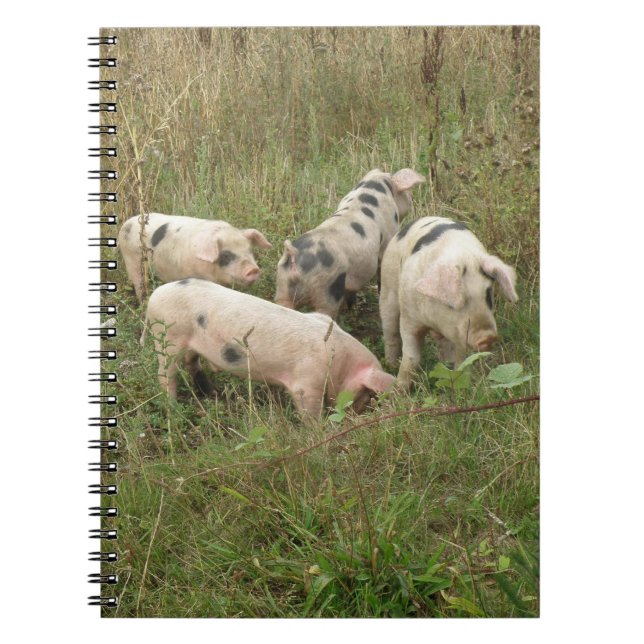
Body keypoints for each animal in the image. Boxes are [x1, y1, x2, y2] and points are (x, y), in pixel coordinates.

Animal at [118, 213, 272, 302]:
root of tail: (127, 222)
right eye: (226, 255)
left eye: (249, 250)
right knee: (138, 284)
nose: (253, 270)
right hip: (131, 260)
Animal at [141, 278, 395, 420]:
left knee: (192, 362)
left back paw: (212, 393)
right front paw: (318, 430)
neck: (340, 362)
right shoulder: (306, 384)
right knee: (166, 374)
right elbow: (309, 412)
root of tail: (154, 295)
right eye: (366, 393)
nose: (356, 415)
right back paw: (174, 408)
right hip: (168, 338)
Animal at [275, 168, 425, 319]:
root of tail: (294, 255)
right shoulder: (388, 235)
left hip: (282, 286)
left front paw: (352, 307)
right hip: (327, 288)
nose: (411, 200)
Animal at [379, 216, 519, 389]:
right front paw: (398, 389)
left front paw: (460, 386)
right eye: (454, 303)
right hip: (388, 286)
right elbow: (411, 357)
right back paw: (390, 364)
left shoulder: (458, 334)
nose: (488, 337)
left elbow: (462, 360)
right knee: (390, 331)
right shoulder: (409, 317)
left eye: (488, 295)